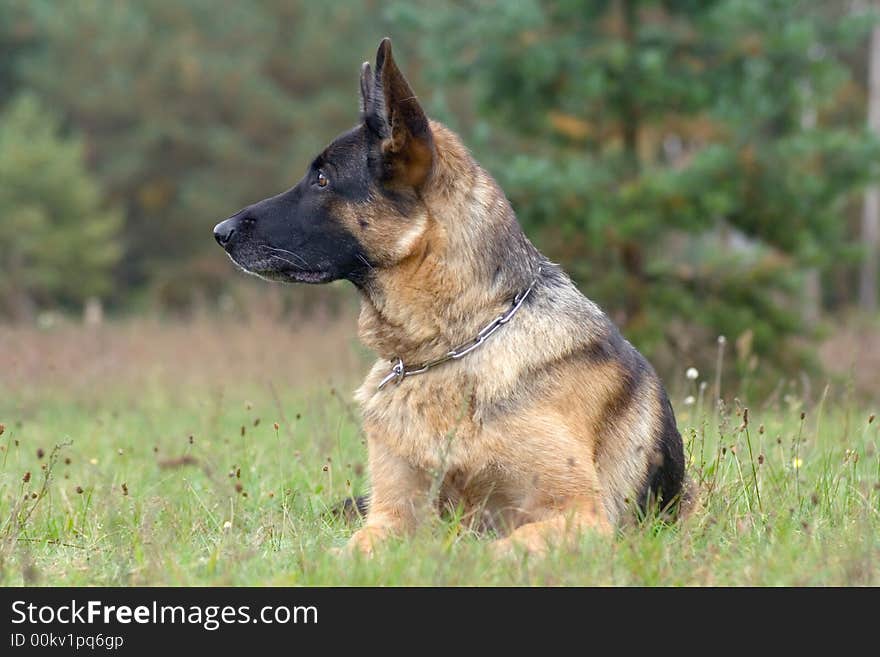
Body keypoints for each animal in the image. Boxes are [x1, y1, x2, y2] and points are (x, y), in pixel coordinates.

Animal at [215, 38, 688, 556]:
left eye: (322, 180)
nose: (220, 232)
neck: (448, 346)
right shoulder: (391, 516)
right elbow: (349, 552)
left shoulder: (578, 515)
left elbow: (495, 549)